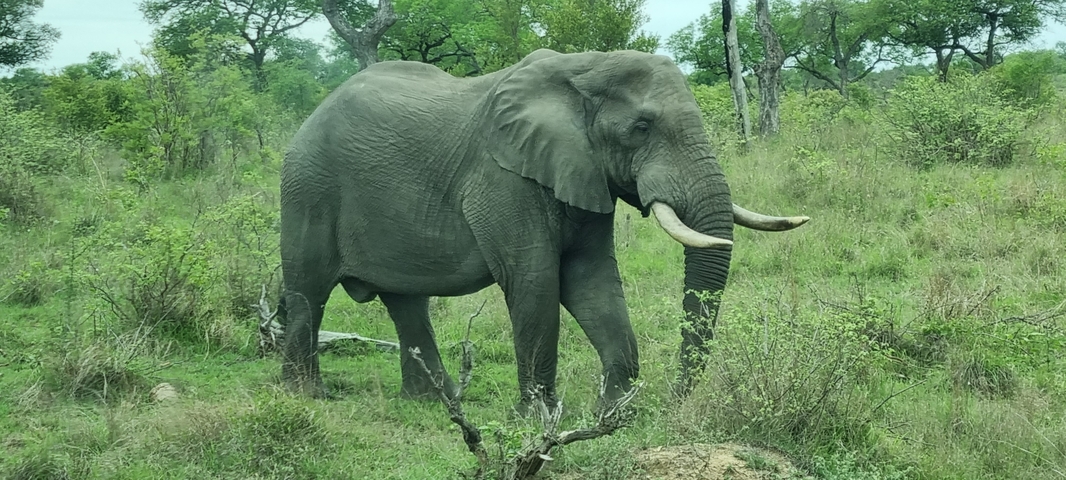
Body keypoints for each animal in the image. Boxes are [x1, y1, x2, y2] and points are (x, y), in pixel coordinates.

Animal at [278, 48, 808, 411]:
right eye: (641, 127)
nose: (675, 400)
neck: (583, 71)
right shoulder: (505, 178)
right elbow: (535, 281)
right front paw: (540, 417)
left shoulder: (585, 174)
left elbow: (592, 282)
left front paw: (615, 413)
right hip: (308, 186)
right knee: (308, 289)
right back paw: (306, 395)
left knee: (405, 301)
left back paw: (434, 402)